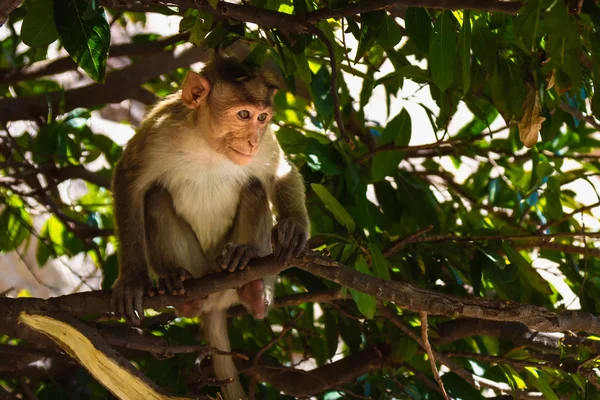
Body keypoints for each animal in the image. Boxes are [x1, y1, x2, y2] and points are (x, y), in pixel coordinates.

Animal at [109, 56, 312, 400]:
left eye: (262, 117)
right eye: (243, 114)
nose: (252, 140)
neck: (209, 147)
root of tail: (215, 301)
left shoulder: (267, 144)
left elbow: (278, 173)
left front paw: (294, 225)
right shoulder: (158, 133)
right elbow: (130, 184)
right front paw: (133, 280)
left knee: (254, 188)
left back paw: (250, 275)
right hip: (198, 265)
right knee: (155, 198)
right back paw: (178, 286)